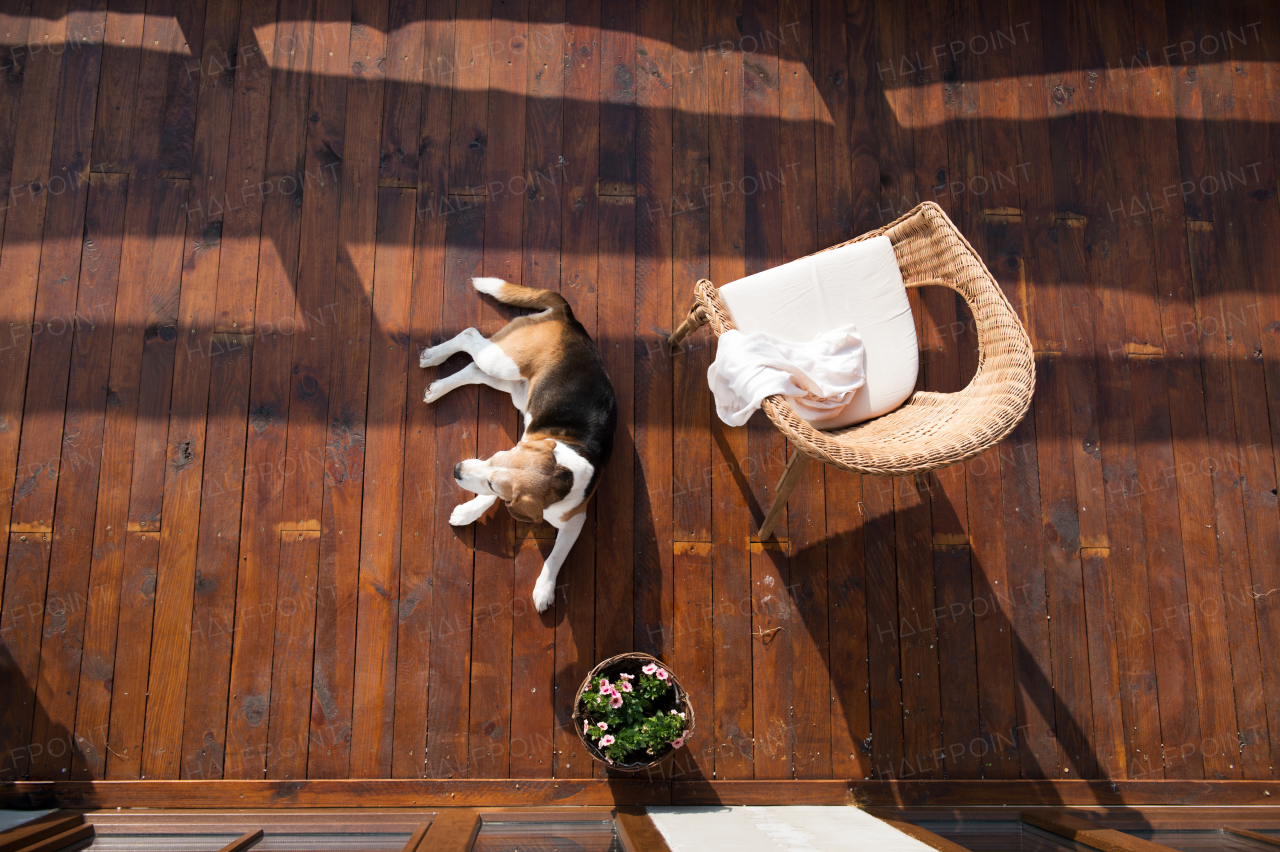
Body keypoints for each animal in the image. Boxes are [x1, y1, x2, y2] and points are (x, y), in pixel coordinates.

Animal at [422, 275, 616, 606]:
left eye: (492, 478)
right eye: (495, 454)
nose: (456, 470)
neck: (564, 472)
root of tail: (568, 317)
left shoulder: (575, 521)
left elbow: (555, 556)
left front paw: (545, 589)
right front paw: (469, 511)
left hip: (512, 386)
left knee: (472, 369)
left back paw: (437, 388)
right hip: (503, 363)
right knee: (469, 336)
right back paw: (433, 357)